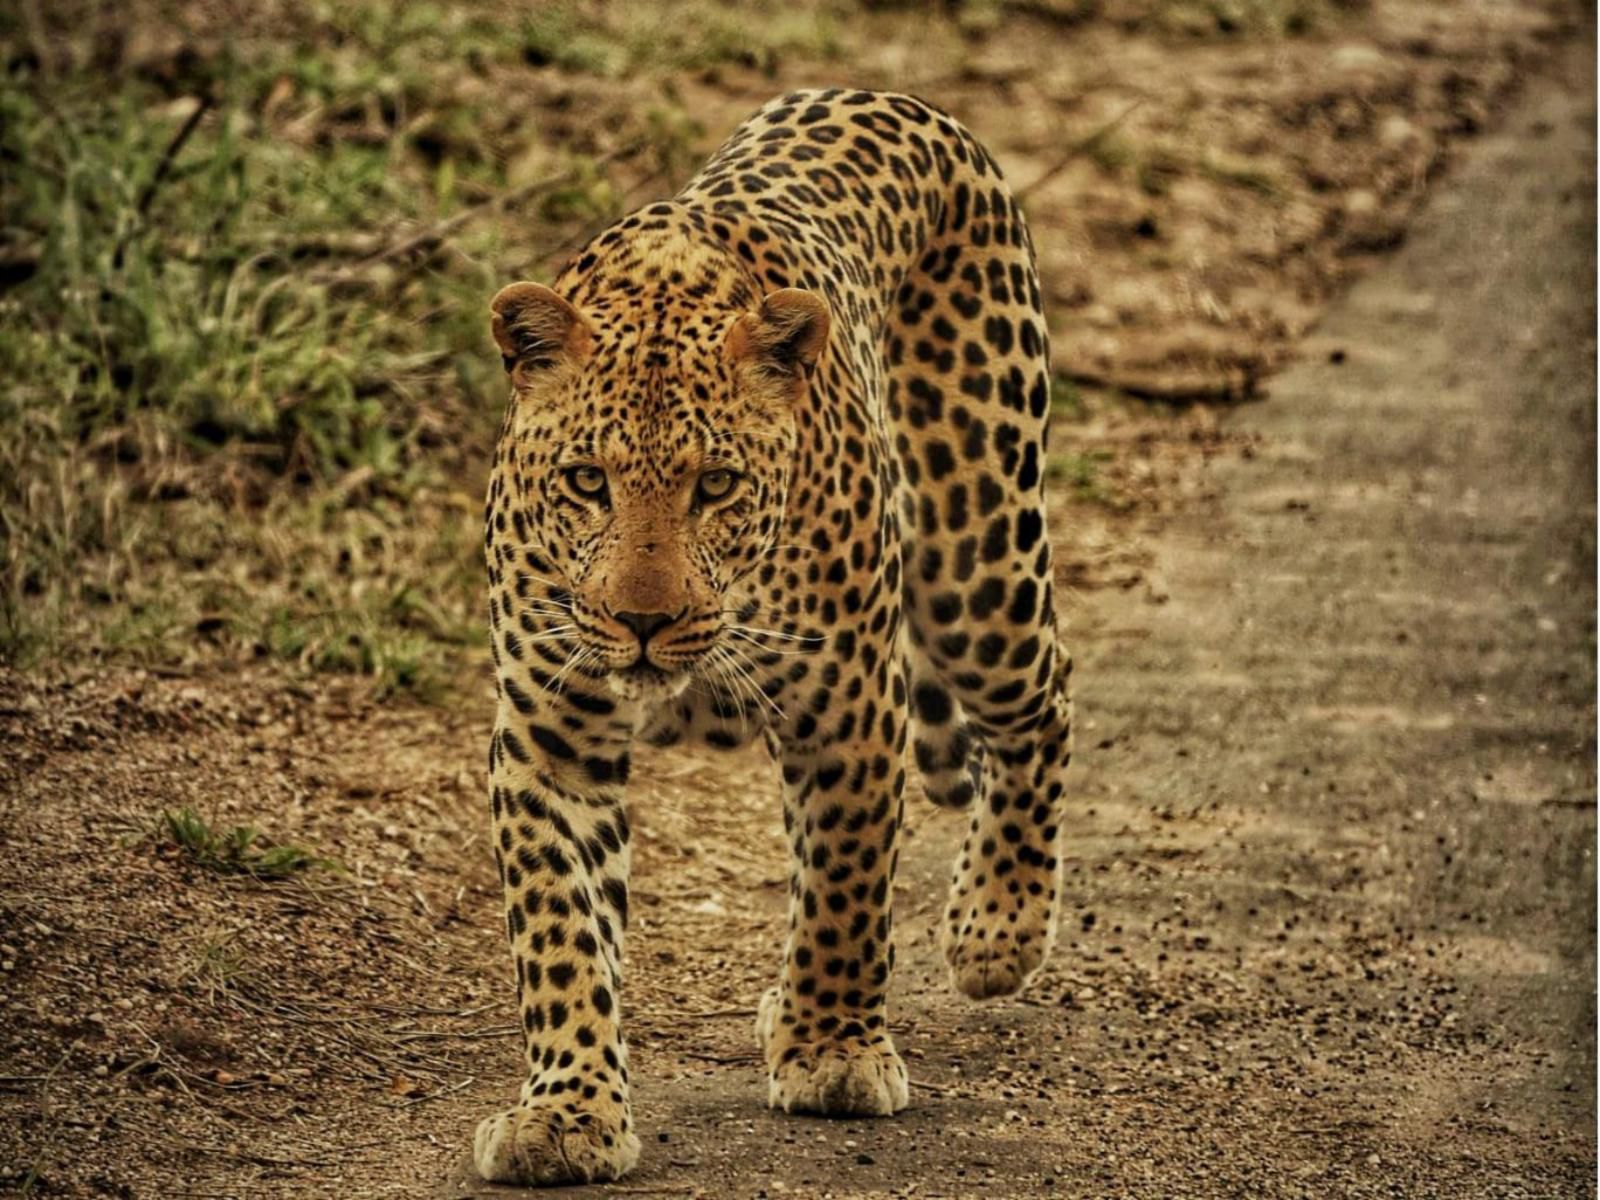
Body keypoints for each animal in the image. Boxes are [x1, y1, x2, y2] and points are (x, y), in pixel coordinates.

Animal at [473, 89, 1075, 1190]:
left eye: (717, 485)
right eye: (586, 481)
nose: (643, 622)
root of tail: (892, 99)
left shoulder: (852, 709)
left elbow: (845, 886)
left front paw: (835, 1051)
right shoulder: (551, 739)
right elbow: (561, 933)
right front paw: (565, 1115)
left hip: (979, 559)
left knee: (1040, 701)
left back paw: (994, 930)